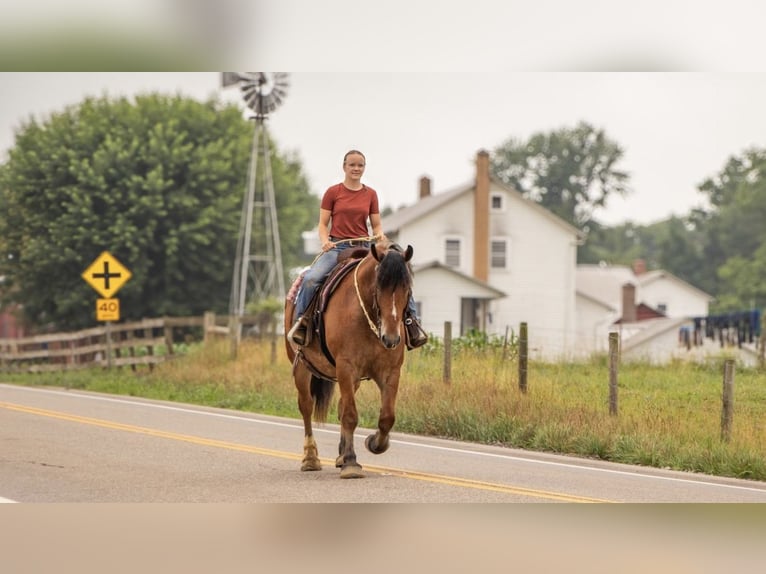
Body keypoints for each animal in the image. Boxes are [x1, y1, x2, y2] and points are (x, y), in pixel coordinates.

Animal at [284, 241, 414, 480]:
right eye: (378, 288)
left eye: (407, 289)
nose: (391, 338)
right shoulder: (346, 367)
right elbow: (351, 416)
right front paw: (352, 463)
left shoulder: (390, 372)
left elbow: (387, 417)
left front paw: (374, 443)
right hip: (302, 367)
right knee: (306, 406)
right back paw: (311, 458)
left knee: (341, 406)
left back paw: (341, 455)